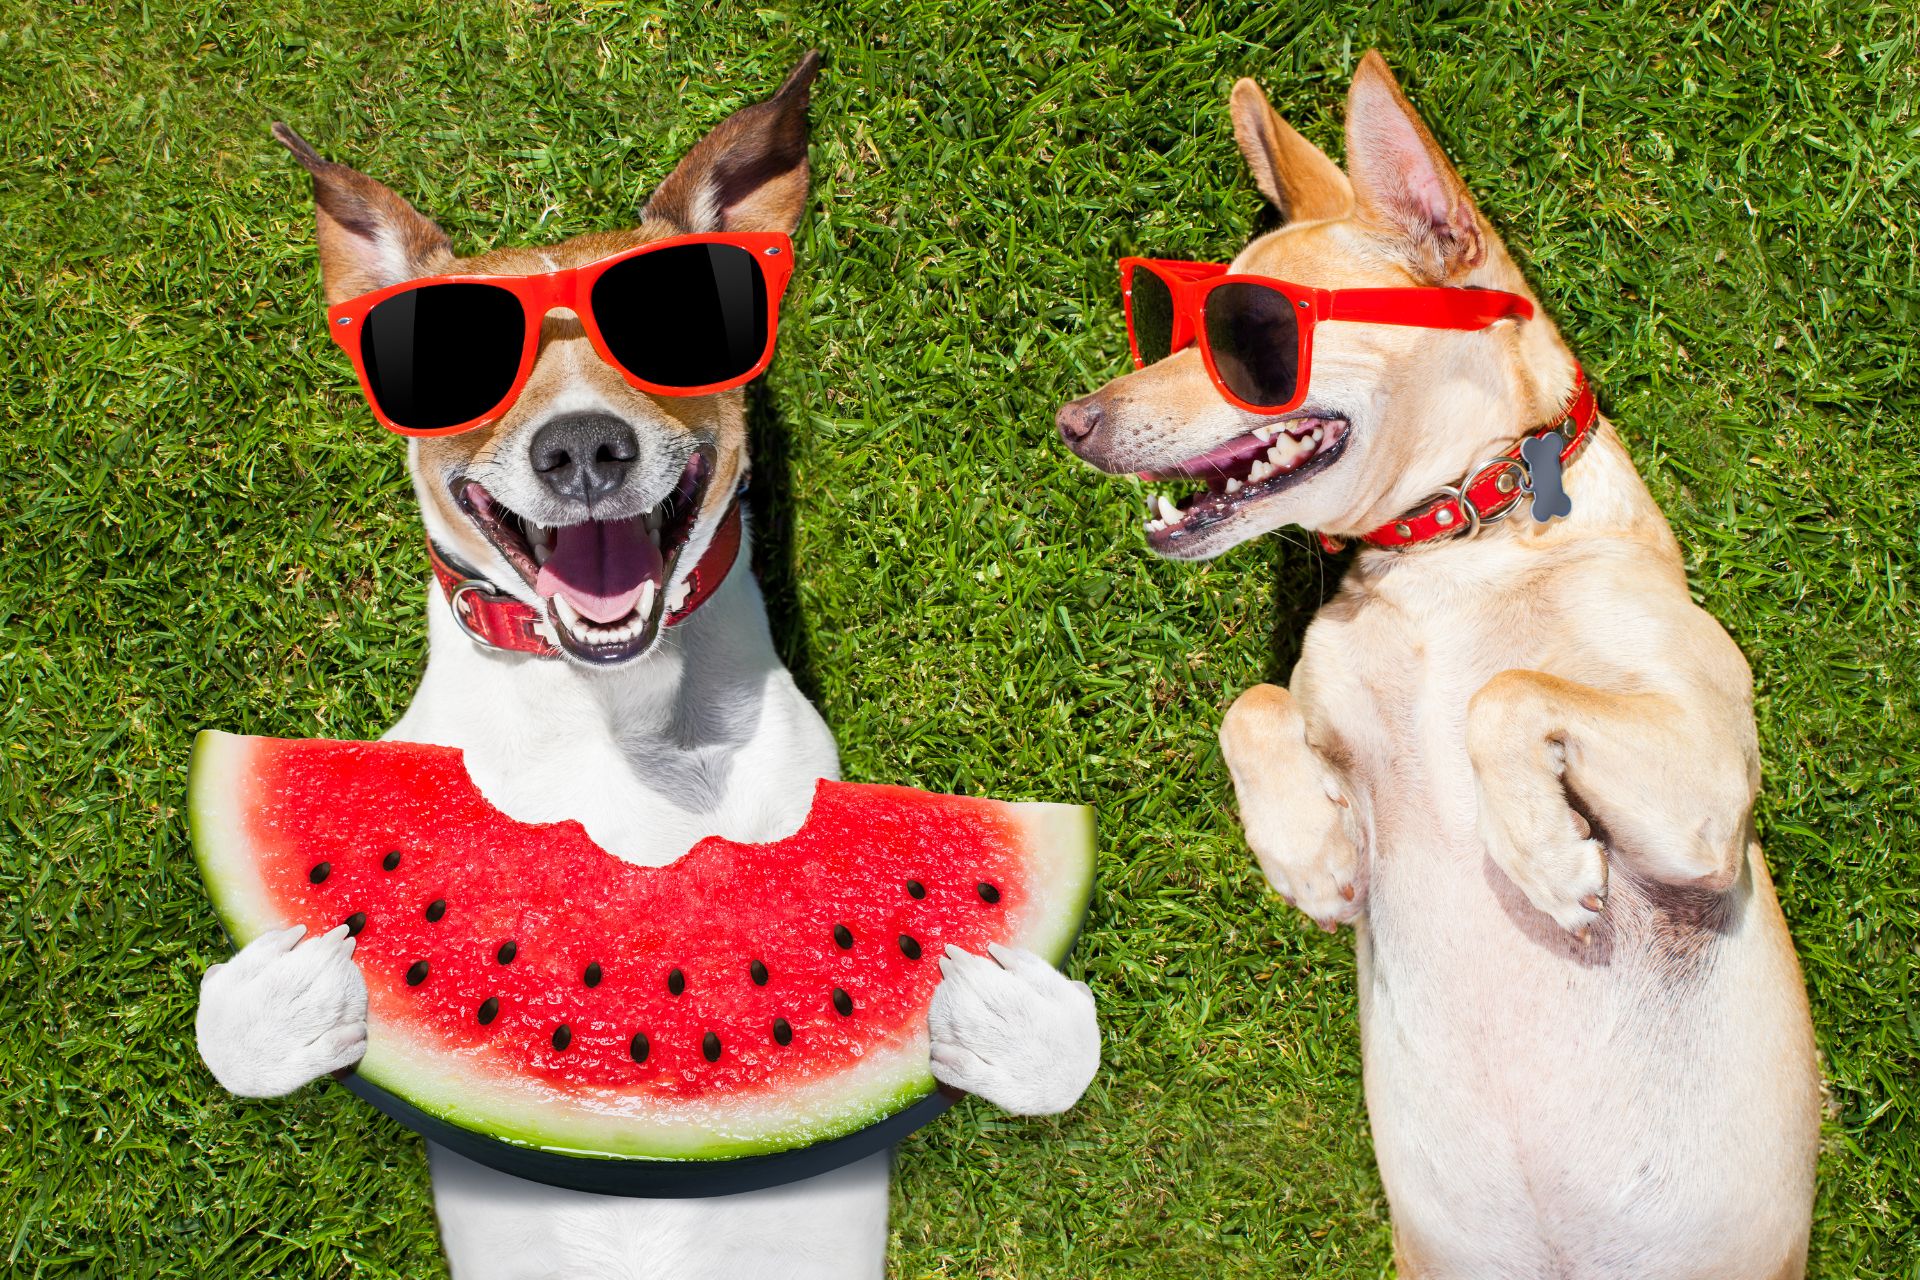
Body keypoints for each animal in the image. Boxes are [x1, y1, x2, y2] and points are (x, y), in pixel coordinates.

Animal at [196, 55, 1105, 1274]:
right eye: (464, 362)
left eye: (671, 326)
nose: (582, 446)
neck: (619, 709)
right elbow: (229, 1031)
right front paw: (285, 989)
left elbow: (1065, 1054)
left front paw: (1011, 1009)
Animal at [1059, 50, 1820, 1280]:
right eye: (1166, 320)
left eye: (1251, 339)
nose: (1073, 422)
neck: (1451, 549)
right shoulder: (1318, 699)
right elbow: (1250, 703)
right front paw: (1309, 856)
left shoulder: (1703, 802)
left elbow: (1505, 695)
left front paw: (1545, 855)